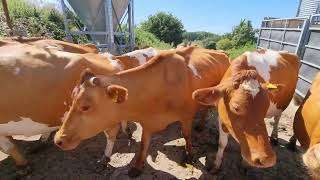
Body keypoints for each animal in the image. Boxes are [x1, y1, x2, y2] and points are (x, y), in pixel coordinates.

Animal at [53, 46, 229, 177]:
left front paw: (190, 154)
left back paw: (201, 125)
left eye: (86, 106)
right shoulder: (147, 121)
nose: (58, 139)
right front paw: (137, 167)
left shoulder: (186, 115)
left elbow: (186, 134)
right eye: (72, 99)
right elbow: (143, 144)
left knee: (205, 110)